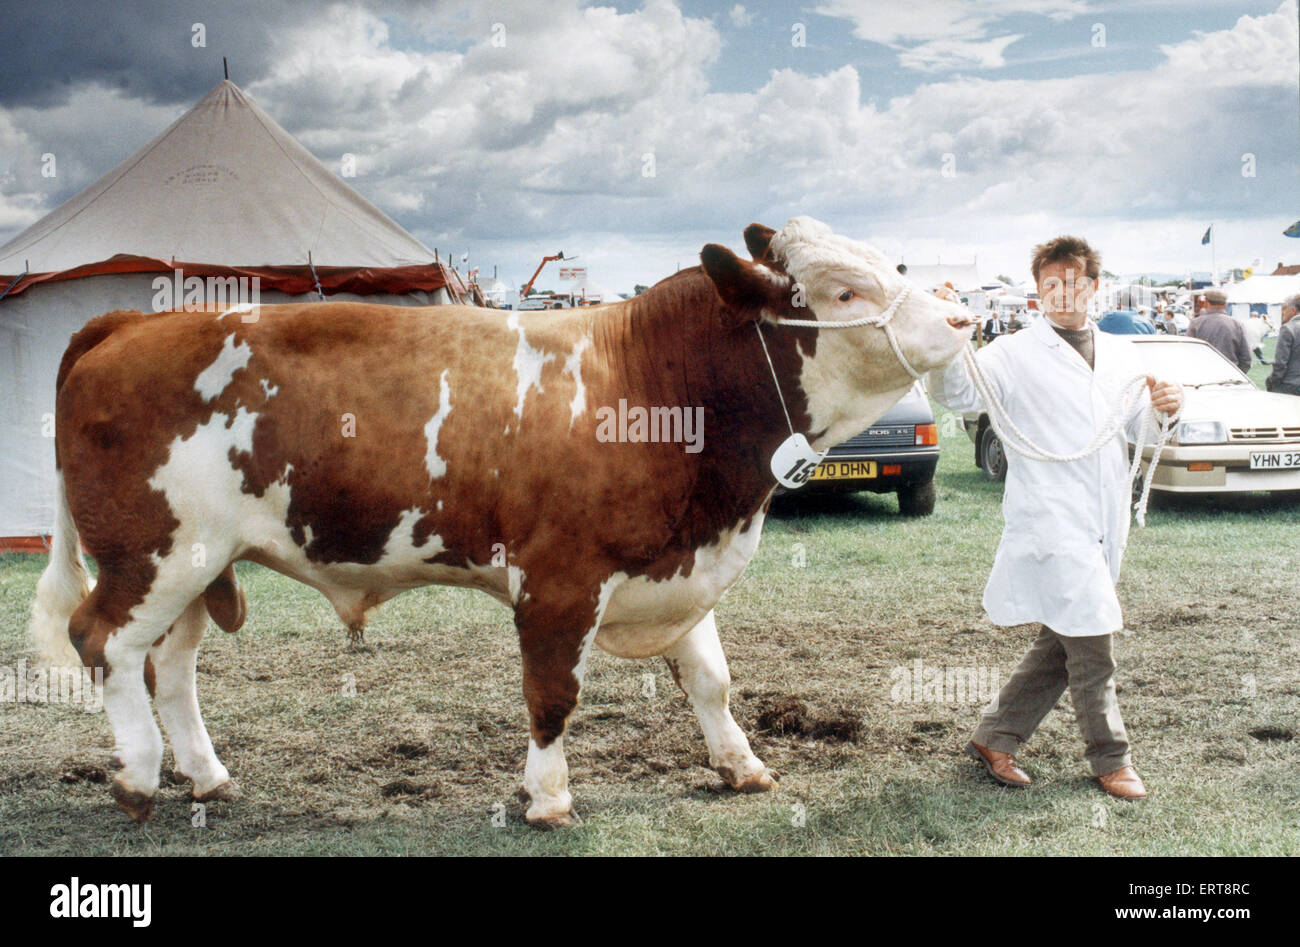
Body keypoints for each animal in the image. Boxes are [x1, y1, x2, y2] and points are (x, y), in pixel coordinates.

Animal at [27, 218, 967, 827]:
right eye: (845, 290)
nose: (962, 318)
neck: (651, 381)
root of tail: (128, 323)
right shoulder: (560, 580)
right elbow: (553, 693)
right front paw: (547, 796)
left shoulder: (675, 566)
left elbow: (710, 679)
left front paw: (742, 765)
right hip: (153, 556)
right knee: (105, 642)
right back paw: (140, 779)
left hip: (198, 563)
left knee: (171, 666)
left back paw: (207, 776)